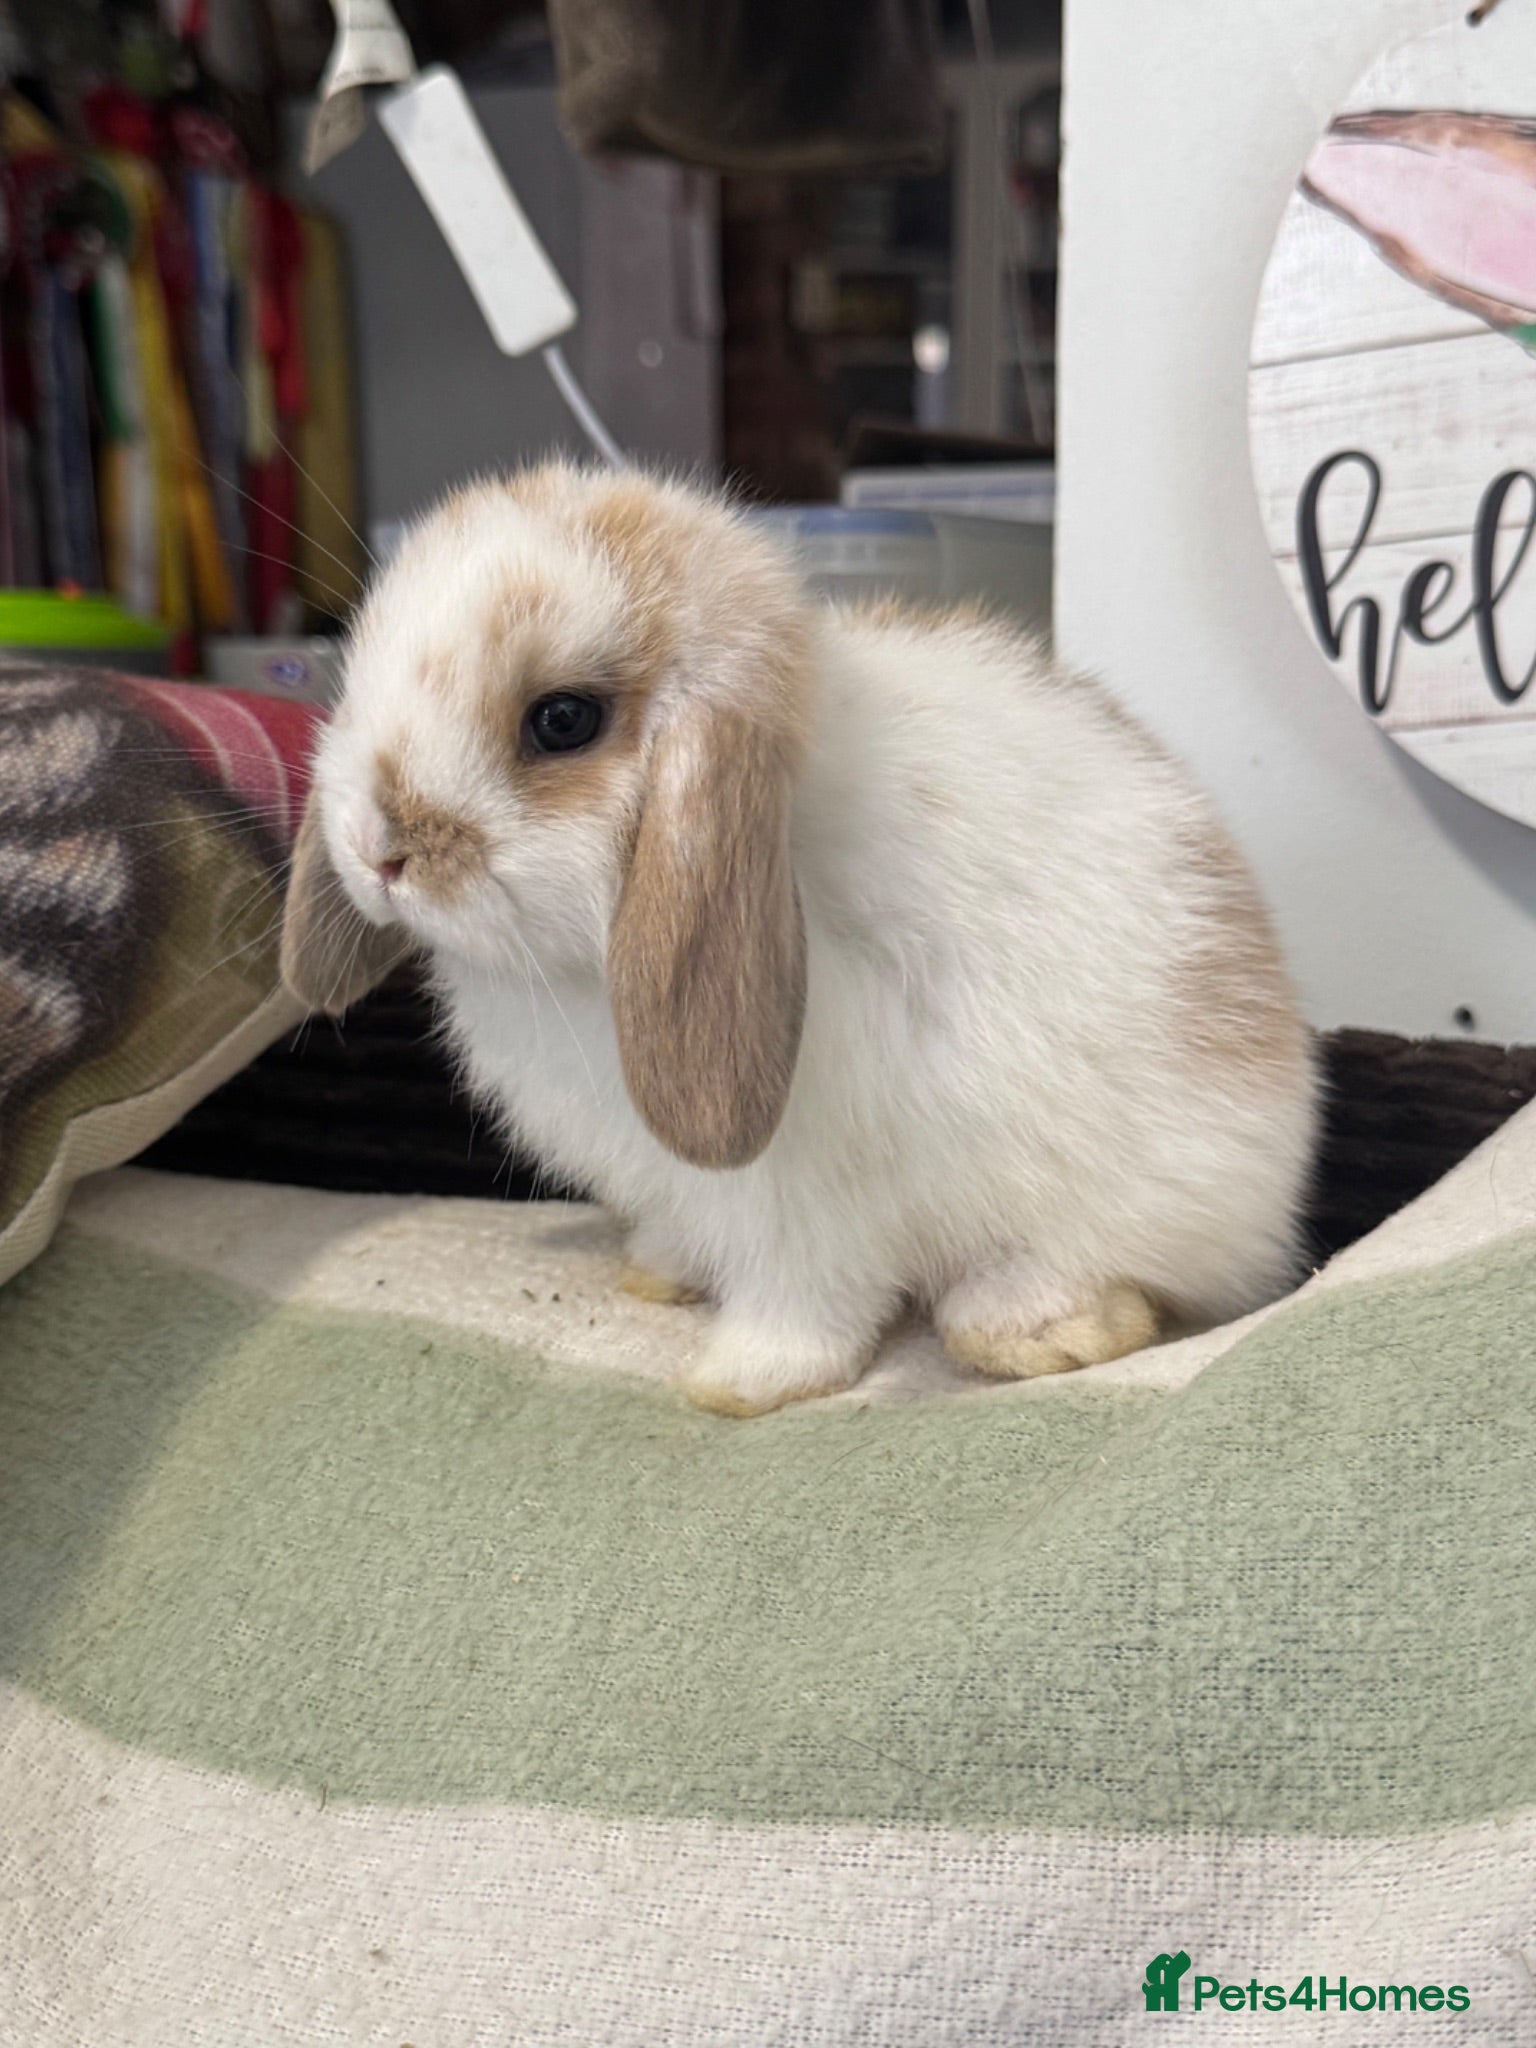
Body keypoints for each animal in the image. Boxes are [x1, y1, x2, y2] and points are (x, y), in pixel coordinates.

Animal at [282, 463, 1318, 1416]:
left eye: (563, 720)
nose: (376, 850)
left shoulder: (808, 1202)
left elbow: (808, 1299)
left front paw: (739, 1383)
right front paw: (656, 1272)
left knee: (1121, 1285)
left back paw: (1032, 1328)